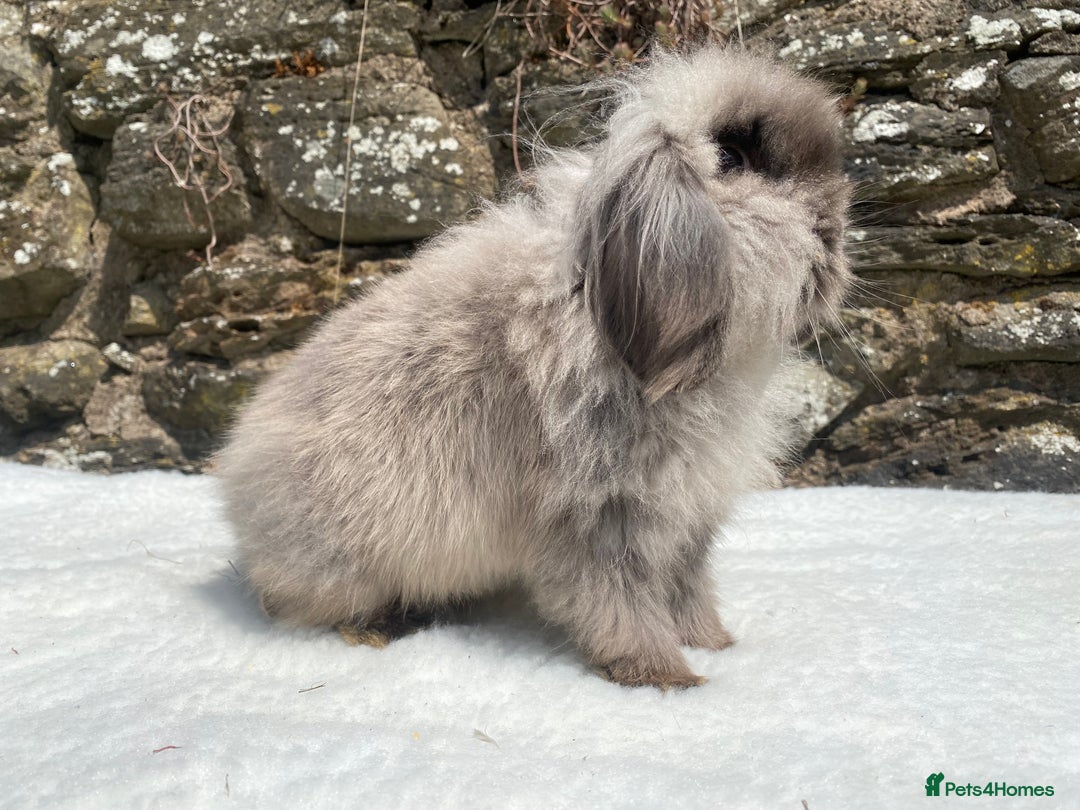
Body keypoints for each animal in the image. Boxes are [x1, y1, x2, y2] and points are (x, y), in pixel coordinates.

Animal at [216, 46, 852, 689]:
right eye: (734, 160)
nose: (836, 228)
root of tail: (237, 484)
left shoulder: (686, 517)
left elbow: (687, 590)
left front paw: (714, 645)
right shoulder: (600, 515)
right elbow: (622, 605)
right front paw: (667, 677)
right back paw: (380, 627)